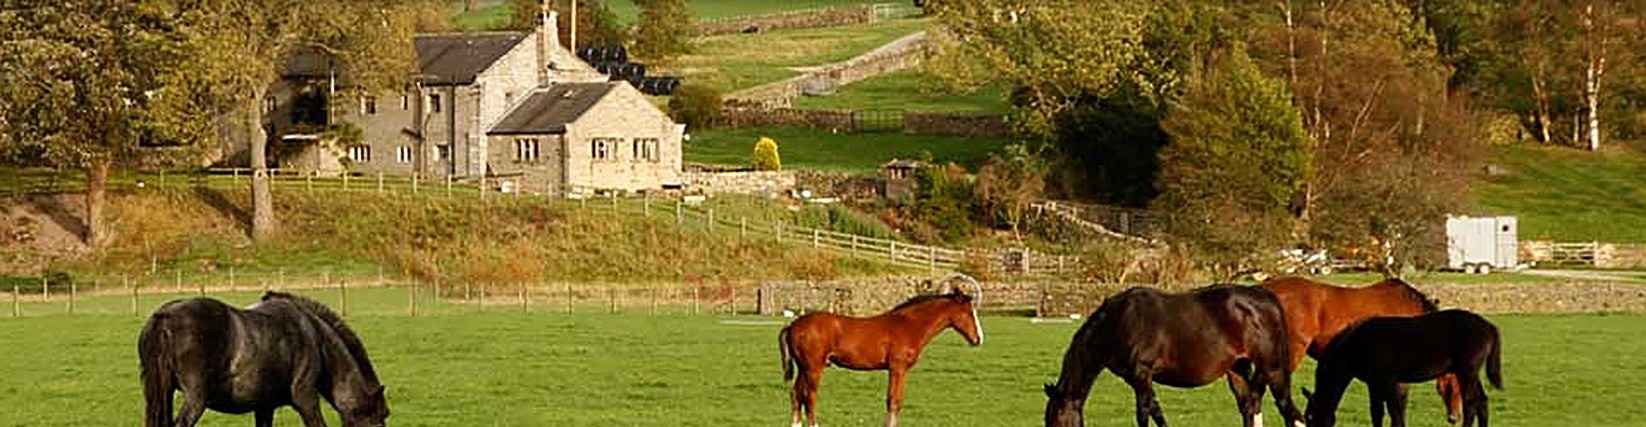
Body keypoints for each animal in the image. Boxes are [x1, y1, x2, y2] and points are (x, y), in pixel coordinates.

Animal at [139, 291, 389, 427]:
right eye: (379, 417)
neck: (315, 336)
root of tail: (164, 318)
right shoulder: (306, 399)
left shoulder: (264, 406)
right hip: (195, 399)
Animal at [779, 288, 983, 427]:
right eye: (968, 313)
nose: (978, 339)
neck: (909, 326)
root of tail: (793, 324)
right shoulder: (897, 368)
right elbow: (893, 400)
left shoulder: (899, 370)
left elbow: (895, 401)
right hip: (814, 368)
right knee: (810, 397)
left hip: (803, 368)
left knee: (796, 395)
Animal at [1044, 284, 1305, 427]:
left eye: (1055, 420)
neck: (1118, 322)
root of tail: (1265, 296)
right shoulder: (1138, 379)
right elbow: (1156, 412)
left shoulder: (1142, 373)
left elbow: (1143, 414)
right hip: (1238, 369)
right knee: (1250, 407)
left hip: (1272, 368)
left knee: (1289, 411)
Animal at [1302, 309, 1503, 427]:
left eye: (1311, 418)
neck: (1356, 343)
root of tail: (1489, 327)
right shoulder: (1373, 383)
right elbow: (1377, 412)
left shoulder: (1387, 380)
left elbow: (1394, 410)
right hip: (1471, 373)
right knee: (1482, 401)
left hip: (1466, 371)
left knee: (1471, 402)